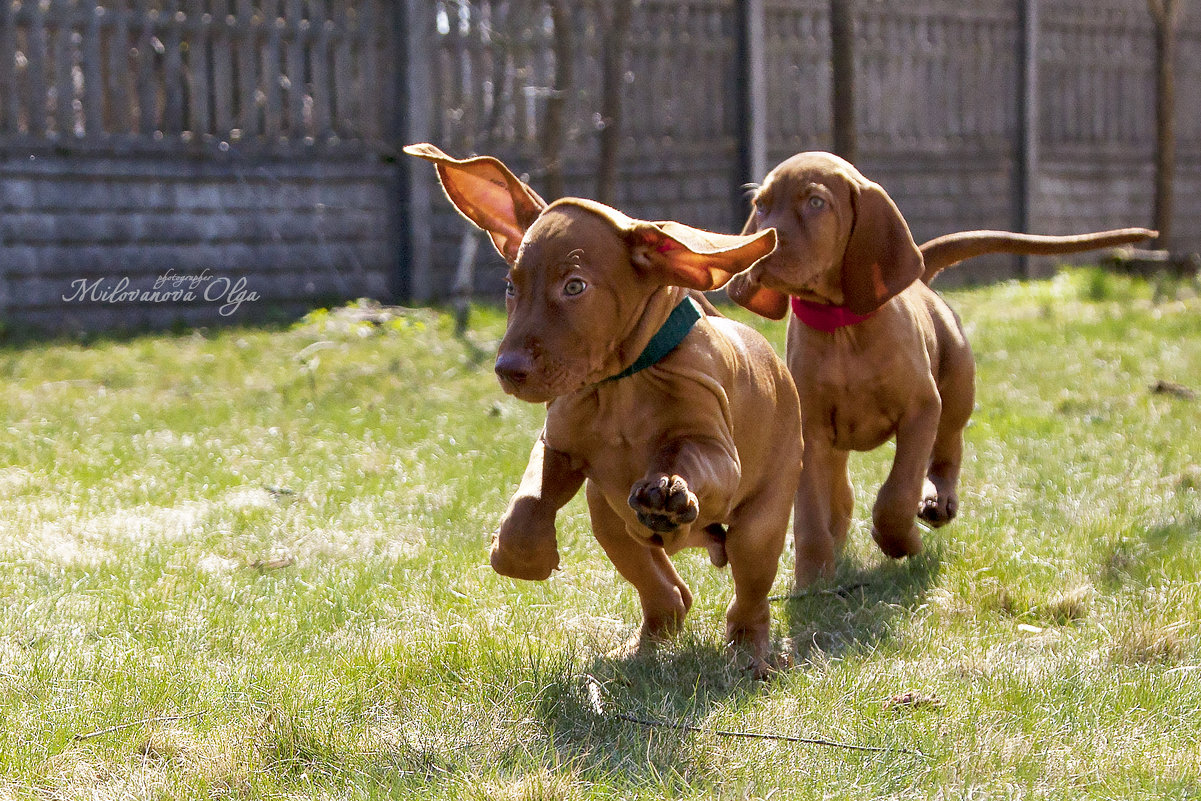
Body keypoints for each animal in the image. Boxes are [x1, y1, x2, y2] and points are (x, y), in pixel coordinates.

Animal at [405, 144, 807, 672]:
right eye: (511, 286)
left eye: (575, 287)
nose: (507, 369)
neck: (620, 386)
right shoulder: (558, 445)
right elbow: (530, 497)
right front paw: (522, 555)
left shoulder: (717, 455)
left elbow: (686, 455)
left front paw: (667, 487)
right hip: (609, 519)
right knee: (669, 594)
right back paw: (642, 647)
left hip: (760, 522)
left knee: (749, 596)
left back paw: (750, 654)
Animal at [725, 150, 1157, 586]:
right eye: (761, 205)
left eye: (816, 202)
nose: (760, 249)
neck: (842, 328)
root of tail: (922, 283)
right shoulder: (810, 431)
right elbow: (811, 514)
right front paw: (813, 579)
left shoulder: (920, 409)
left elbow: (897, 493)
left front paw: (901, 541)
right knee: (841, 495)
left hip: (956, 390)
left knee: (949, 448)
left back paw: (938, 499)